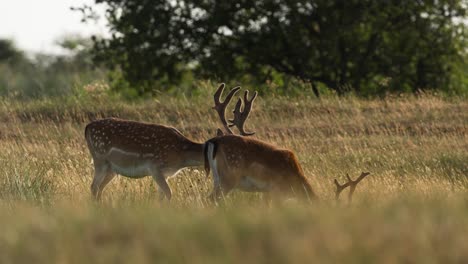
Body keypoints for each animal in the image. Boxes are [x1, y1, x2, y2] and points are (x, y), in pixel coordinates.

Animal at [203, 84, 372, 202]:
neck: (294, 179)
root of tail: (214, 141)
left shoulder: (267, 192)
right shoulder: (277, 190)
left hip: (218, 178)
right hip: (230, 176)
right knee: (211, 200)